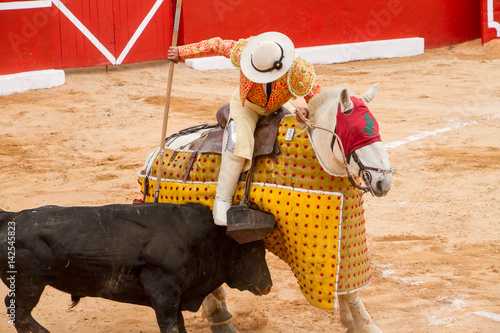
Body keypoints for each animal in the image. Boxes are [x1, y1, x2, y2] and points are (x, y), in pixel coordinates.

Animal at [0, 202, 272, 332]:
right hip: (30, 284)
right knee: (21, 313)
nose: (268, 285)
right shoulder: (163, 293)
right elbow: (171, 325)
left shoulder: (176, 297)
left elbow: (180, 323)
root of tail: (11, 217)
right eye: (255, 251)